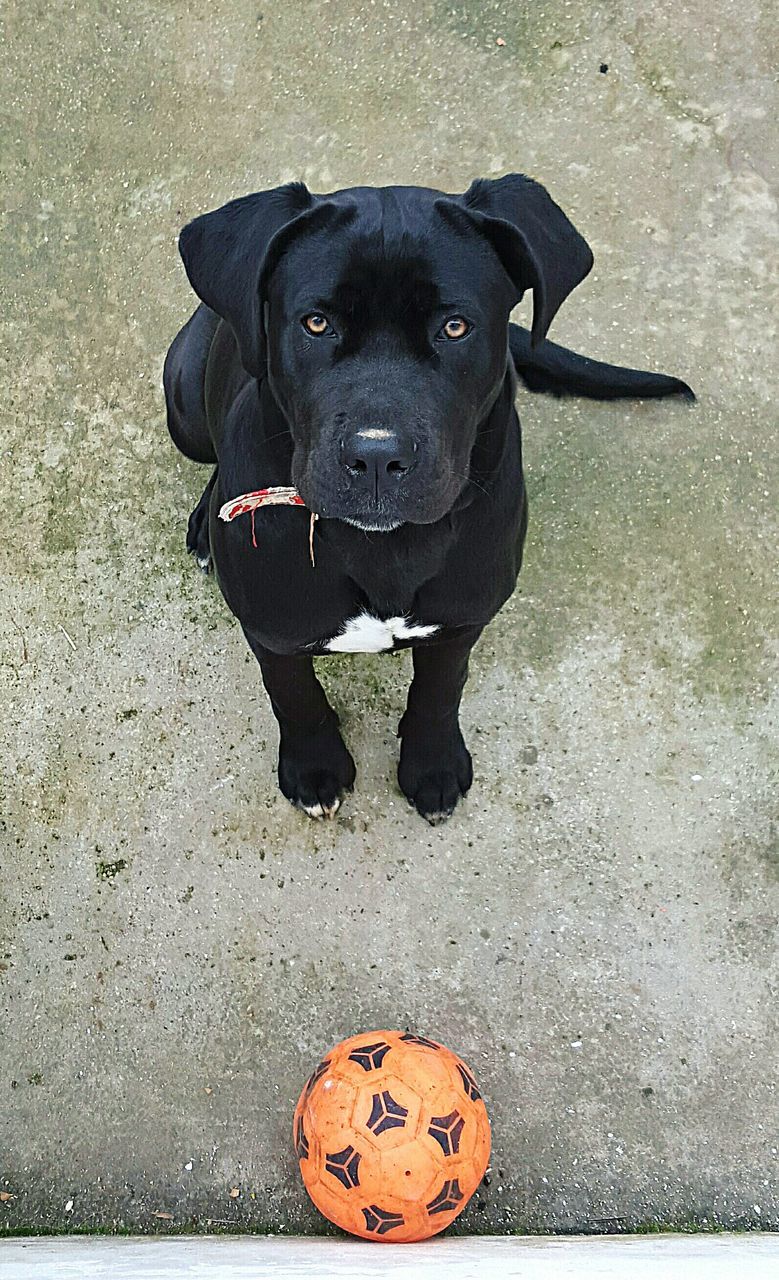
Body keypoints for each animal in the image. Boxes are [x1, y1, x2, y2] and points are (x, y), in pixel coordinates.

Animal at [162, 175, 685, 824]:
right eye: (316, 323)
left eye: (455, 327)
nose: (377, 458)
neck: (383, 547)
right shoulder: (272, 629)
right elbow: (295, 696)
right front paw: (314, 768)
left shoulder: (463, 617)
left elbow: (440, 689)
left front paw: (432, 765)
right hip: (182, 406)